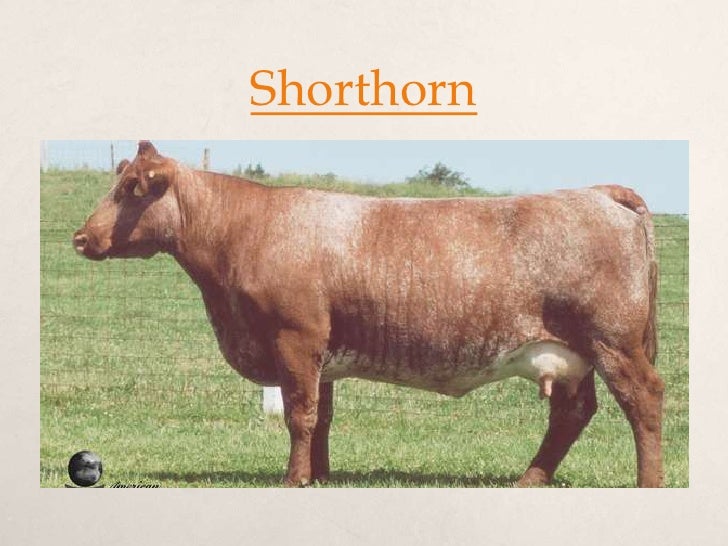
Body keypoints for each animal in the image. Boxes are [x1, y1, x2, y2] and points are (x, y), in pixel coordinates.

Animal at [73, 141, 664, 487]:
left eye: (131, 189)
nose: (80, 238)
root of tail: (598, 192)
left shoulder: (295, 338)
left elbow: (299, 414)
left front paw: (294, 480)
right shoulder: (320, 351)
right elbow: (322, 415)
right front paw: (320, 476)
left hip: (614, 342)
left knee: (644, 401)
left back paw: (648, 482)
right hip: (571, 354)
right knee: (573, 412)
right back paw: (530, 480)